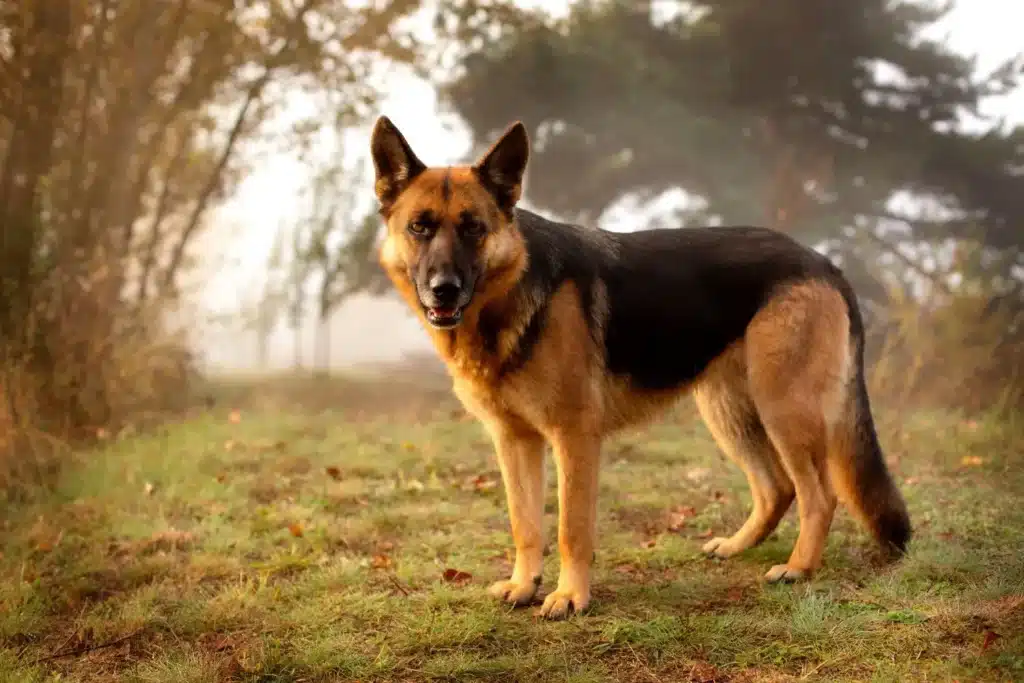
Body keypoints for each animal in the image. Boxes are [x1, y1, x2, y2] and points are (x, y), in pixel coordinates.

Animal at [370, 116, 913, 618]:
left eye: (473, 228)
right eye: (419, 227)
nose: (443, 290)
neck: (508, 296)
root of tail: (823, 262)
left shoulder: (574, 439)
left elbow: (570, 528)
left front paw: (570, 596)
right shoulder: (514, 442)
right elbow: (524, 523)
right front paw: (525, 586)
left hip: (783, 411)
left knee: (819, 495)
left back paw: (799, 568)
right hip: (730, 413)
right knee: (776, 488)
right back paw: (738, 546)